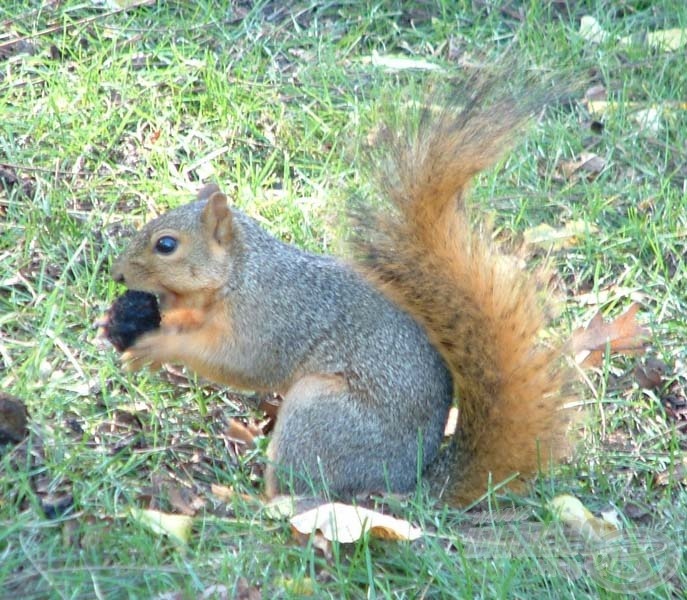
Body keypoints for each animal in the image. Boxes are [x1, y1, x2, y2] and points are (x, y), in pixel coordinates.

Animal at [113, 79, 576, 506]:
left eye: (166, 245)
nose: (117, 275)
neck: (241, 274)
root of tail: (401, 487)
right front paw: (157, 318)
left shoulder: (273, 318)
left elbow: (242, 364)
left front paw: (158, 346)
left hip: (321, 416)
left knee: (295, 495)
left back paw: (241, 500)